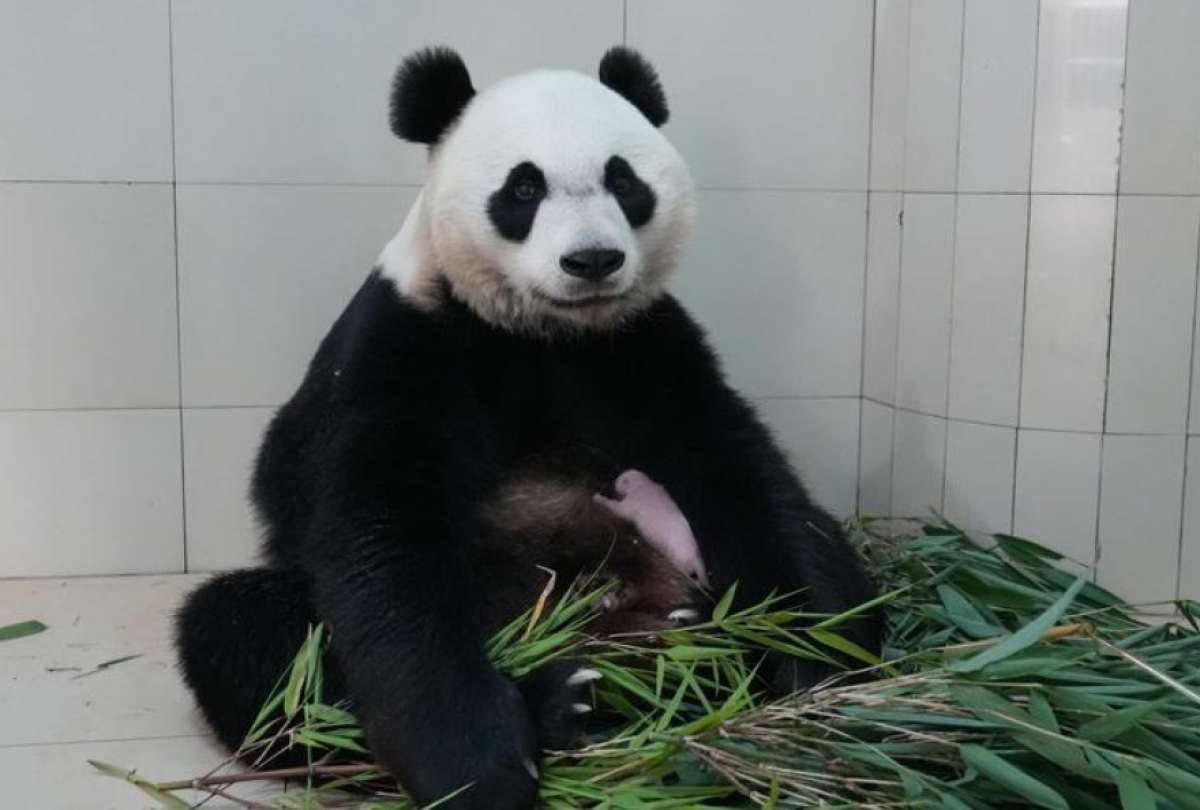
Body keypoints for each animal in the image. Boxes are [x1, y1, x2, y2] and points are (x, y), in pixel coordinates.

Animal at [175, 46, 880, 810]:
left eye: (623, 180)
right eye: (522, 188)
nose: (593, 260)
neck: (545, 333)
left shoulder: (646, 349)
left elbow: (742, 478)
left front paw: (810, 672)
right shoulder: (407, 343)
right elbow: (380, 539)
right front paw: (478, 769)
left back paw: (691, 664)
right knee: (250, 639)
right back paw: (566, 698)